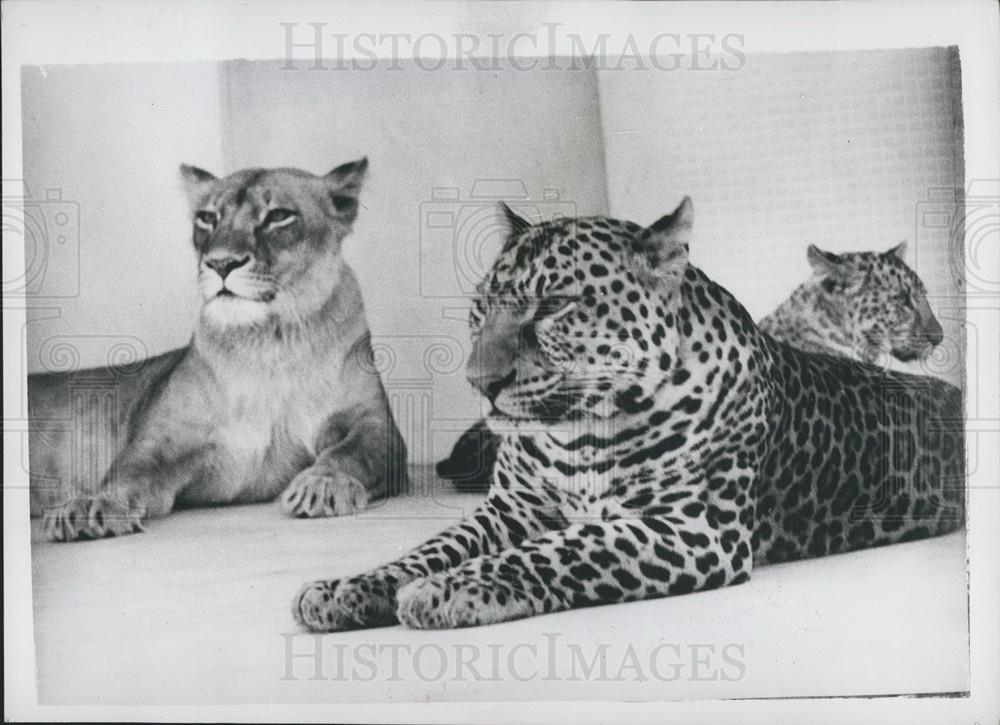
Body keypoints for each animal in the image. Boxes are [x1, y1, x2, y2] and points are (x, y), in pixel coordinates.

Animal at [292, 201, 964, 632]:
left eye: (554, 306)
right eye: (481, 308)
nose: (480, 383)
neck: (578, 434)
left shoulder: (696, 529)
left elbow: (564, 549)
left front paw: (451, 587)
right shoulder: (508, 511)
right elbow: (427, 549)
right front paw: (347, 588)